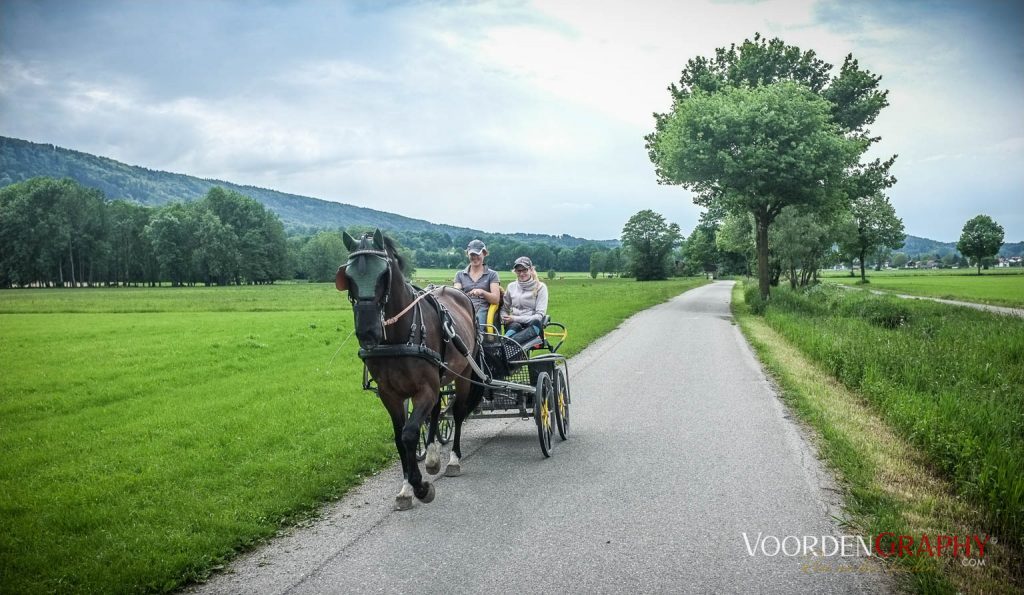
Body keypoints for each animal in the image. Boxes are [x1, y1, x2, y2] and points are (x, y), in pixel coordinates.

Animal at [337, 229, 485, 507]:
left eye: (384, 274)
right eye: (347, 277)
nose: (367, 332)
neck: (399, 336)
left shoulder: (425, 388)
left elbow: (409, 433)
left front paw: (421, 487)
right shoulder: (390, 394)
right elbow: (399, 437)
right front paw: (406, 487)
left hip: (464, 375)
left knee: (458, 413)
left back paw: (453, 460)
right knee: (437, 410)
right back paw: (433, 455)